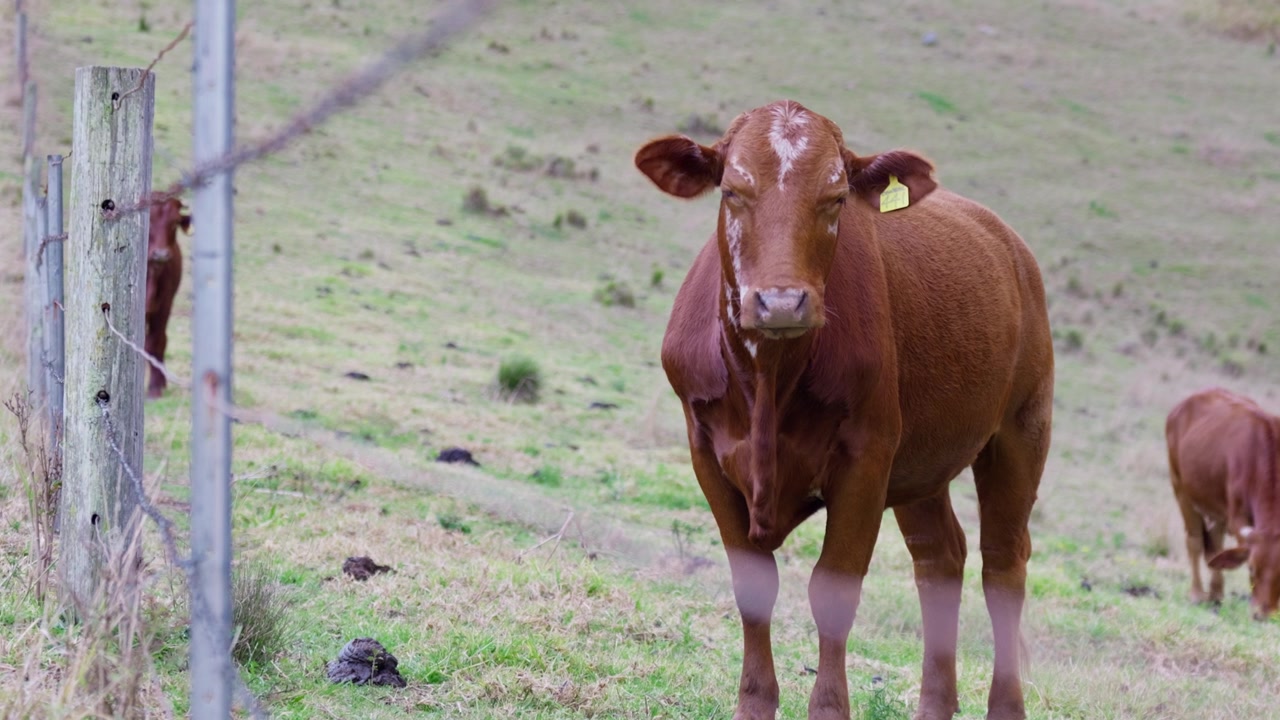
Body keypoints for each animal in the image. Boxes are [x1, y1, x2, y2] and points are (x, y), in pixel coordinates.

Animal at [635, 100, 1054, 720]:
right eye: (732, 190)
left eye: (835, 197)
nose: (781, 301)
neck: (769, 380)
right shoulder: (706, 452)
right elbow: (752, 586)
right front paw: (754, 701)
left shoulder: (866, 458)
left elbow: (833, 587)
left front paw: (829, 707)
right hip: (923, 463)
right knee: (940, 557)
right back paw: (934, 704)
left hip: (1021, 429)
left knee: (1003, 564)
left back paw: (1004, 705)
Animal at [1166, 387, 1280, 621]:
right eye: (1251, 568)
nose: (1263, 615)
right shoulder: (1236, 516)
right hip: (1181, 489)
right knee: (1195, 542)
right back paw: (1198, 593)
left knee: (1214, 545)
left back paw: (1216, 592)